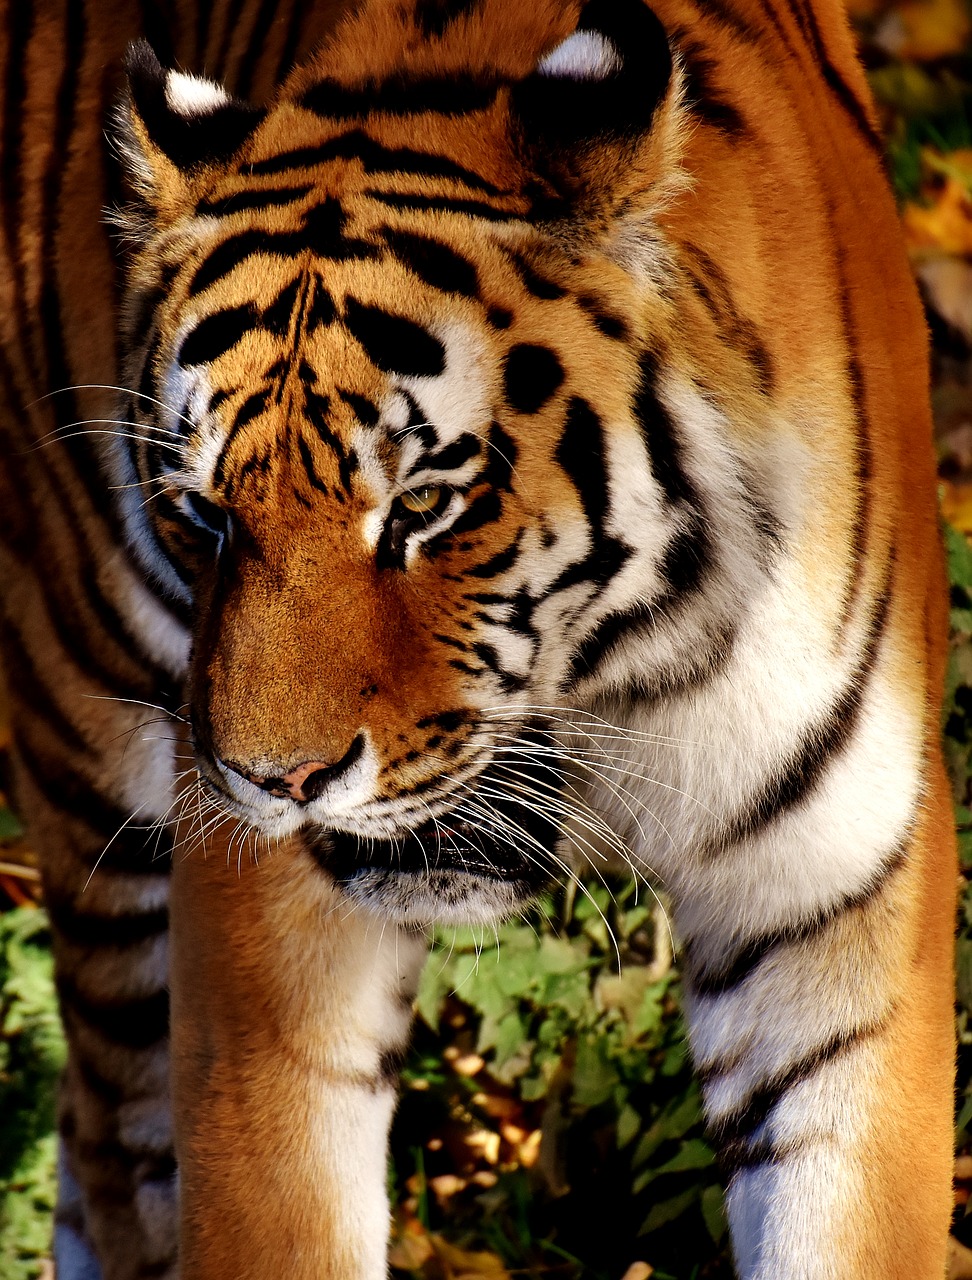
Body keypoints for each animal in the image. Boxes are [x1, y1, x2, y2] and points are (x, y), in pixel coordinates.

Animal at [0, 0, 952, 1269]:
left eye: (421, 505)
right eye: (206, 511)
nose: (275, 780)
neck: (621, 679)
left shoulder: (838, 902)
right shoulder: (264, 939)